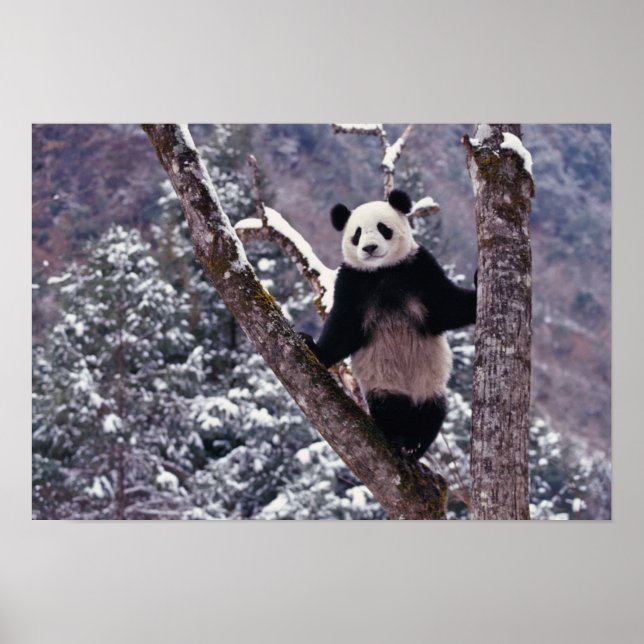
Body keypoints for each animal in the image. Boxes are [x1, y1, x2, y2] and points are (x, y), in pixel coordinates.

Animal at [301, 189, 477, 460]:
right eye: (357, 234)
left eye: (383, 228)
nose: (370, 248)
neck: (382, 271)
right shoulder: (353, 283)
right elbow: (343, 329)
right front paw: (312, 346)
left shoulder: (418, 268)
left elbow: (448, 306)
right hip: (383, 380)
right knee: (389, 408)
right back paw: (399, 437)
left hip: (428, 383)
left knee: (433, 411)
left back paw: (415, 443)